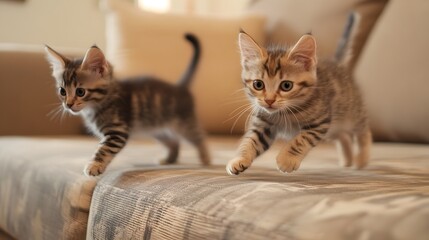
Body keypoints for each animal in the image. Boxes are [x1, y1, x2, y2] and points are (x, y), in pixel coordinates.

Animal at [44, 33, 209, 176]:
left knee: (199, 138)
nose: (68, 105)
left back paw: (206, 160)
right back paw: (169, 159)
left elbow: (104, 149)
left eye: (80, 92)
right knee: (174, 142)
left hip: (184, 124)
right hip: (158, 130)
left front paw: (94, 165)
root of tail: (180, 87)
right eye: (62, 91)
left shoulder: (118, 131)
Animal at [226, 26, 370, 176]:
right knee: (343, 136)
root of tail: (337, 64)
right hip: (334, 127)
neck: (284, 113)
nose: (269, 100)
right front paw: (239, 159)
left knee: (363, 130)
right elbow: (250, 140)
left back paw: (362, 159)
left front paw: (286, 159)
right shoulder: (262, 123)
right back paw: (347, 160)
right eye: (258, 84)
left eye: (286, 86)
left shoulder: (320, 122)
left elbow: (301, 140)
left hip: (352, 113)